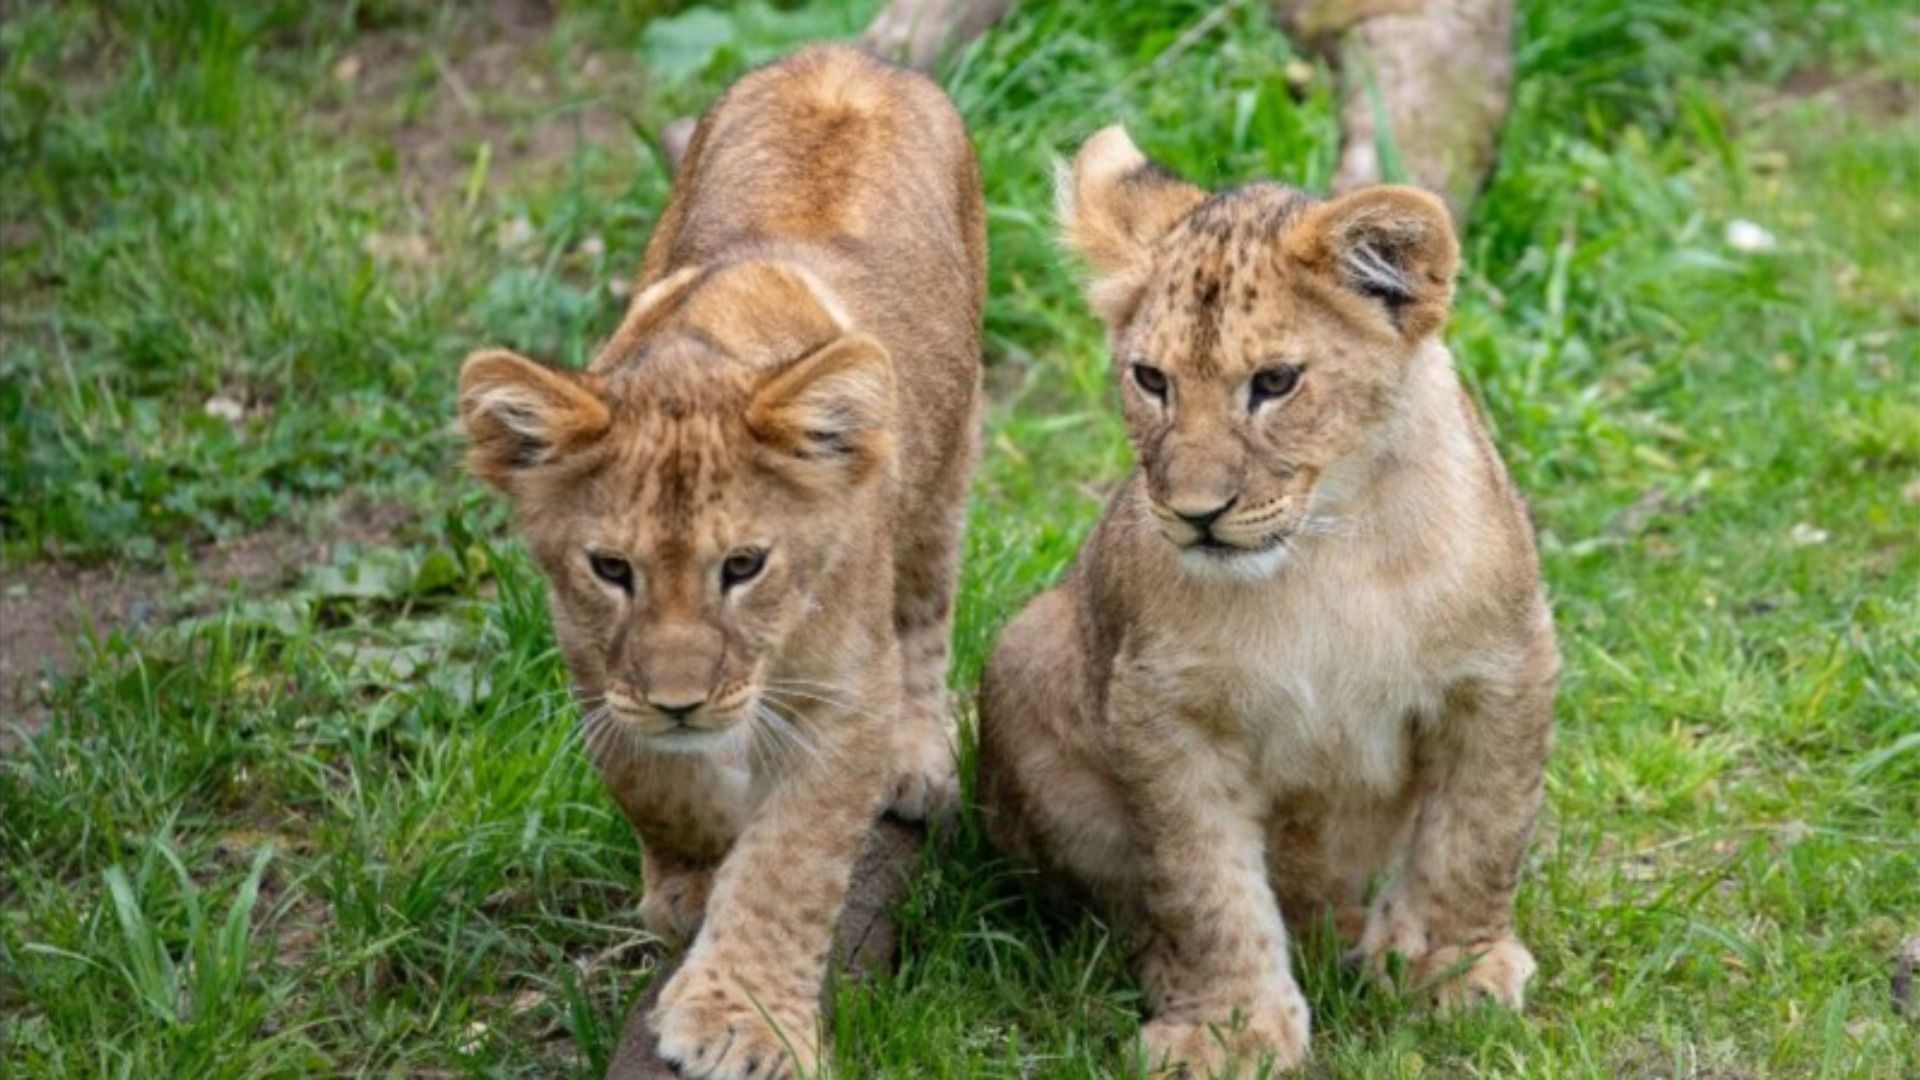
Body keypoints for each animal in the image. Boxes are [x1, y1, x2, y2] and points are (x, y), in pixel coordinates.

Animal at [456, 46, 983, 1079]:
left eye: (744, 566)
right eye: (610, 569)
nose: (681, 701)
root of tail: (847, 55)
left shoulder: (843, 690)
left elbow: (790, 861)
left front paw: (744, 1020)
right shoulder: (594, 664)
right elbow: (653, 783)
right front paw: (692, 888)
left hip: (951, 453)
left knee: (928, 607)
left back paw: (918, 761)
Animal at [975, 126, 1557, 1075]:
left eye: (1276, 382)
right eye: (1151, 379)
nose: (1195, 512)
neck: (1325, 552)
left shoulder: (1506, 667)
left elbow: (1479, 831)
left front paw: (1451, 968)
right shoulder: (1163, 711)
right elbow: (1203, 883)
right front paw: (1228, 1028)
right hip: (1023, 654)